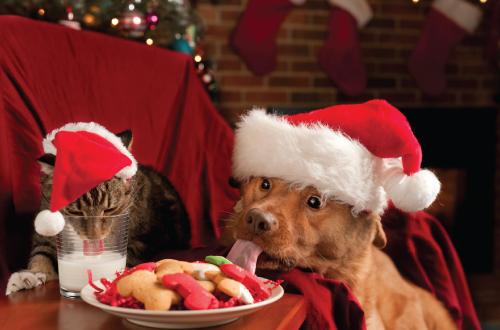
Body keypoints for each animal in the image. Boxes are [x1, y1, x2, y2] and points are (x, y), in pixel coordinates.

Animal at [6, 130, 192, 296]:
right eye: (75, 212)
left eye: (110, 210)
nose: (93, 237)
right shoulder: (47, 239)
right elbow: (42, 256)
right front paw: (29, 275)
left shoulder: (145, 242)